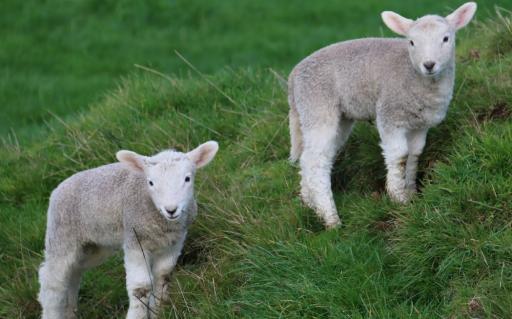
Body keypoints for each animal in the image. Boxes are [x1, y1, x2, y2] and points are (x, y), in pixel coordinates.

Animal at [37, 142, 218, 319]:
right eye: (151, 182)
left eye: (187, 179)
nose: (171, 210)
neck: (163, 222)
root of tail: (57, 189)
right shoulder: (135, 239)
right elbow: (141, 287)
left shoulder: (174, 242)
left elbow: (163, 276)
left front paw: (158, 311)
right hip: (62, 235)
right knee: (52, 281)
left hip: (93, 246)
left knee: (74, 272)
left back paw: (70, 311)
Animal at [288, 2, 476, 228]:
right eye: (412, 42)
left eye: (446, 38)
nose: (429, 64)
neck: (414, 76)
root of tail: (293, 78)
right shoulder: (390, 113)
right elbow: (399, 155)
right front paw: (398, 197)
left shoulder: (420, 124)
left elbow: (414, 154)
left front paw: (411, 193)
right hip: (317, 106)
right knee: (315, 161)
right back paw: (331, 218)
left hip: (336, 117)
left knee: (310, 158)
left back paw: (309, 204)